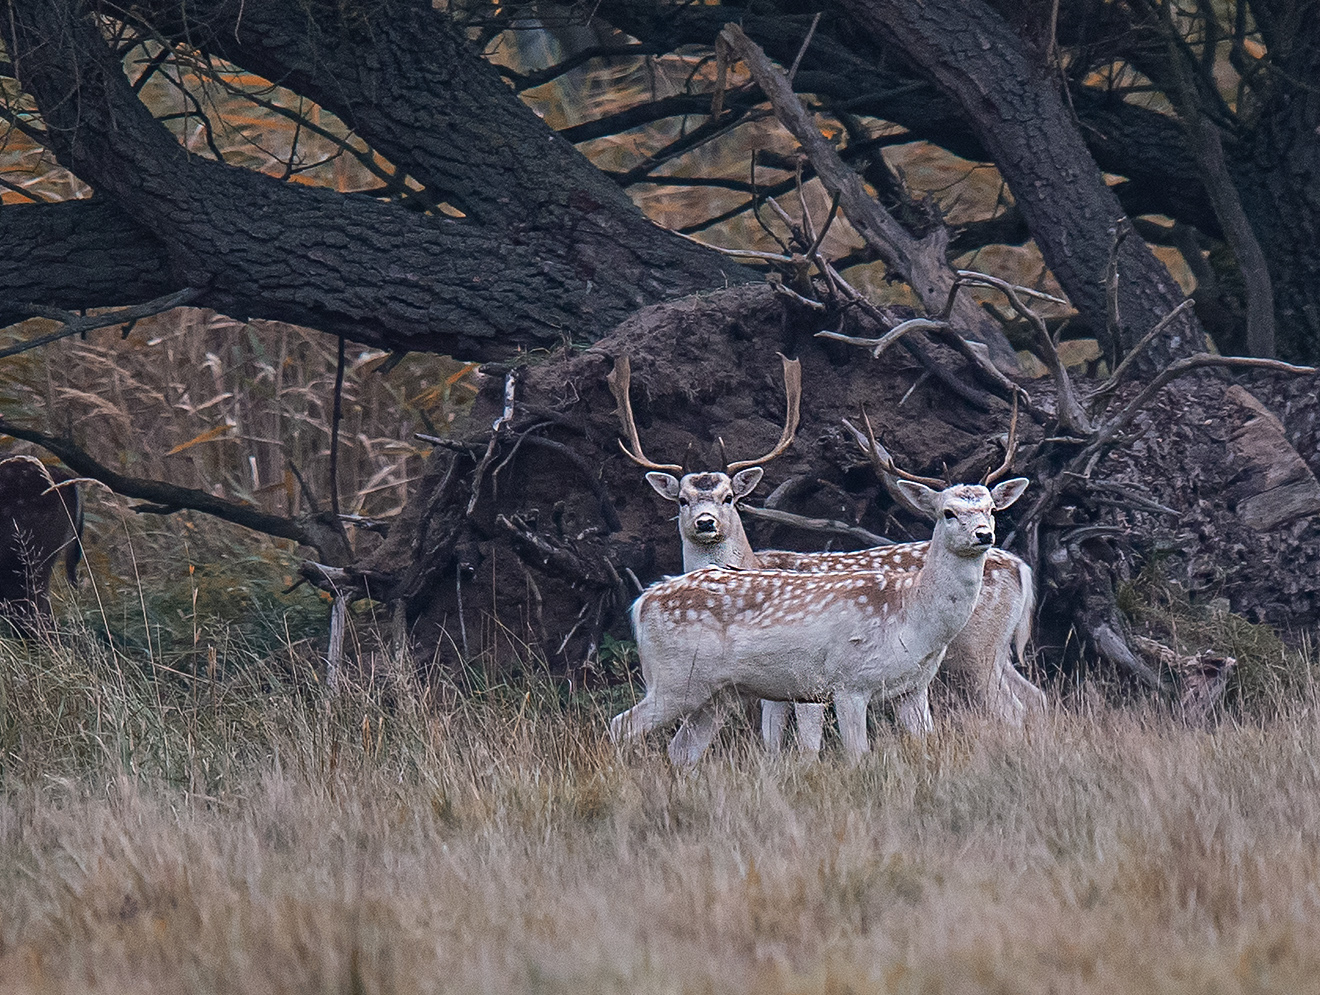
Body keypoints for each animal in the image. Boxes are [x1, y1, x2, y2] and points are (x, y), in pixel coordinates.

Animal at [607, 472, 1029, 760]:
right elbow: (854, 756)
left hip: (712, 694)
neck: (909, 613)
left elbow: (926, 744)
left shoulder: (912, 688)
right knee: (620, 725)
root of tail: (642, 601)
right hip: (674, 679)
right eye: (947, 512)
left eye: (992, 509)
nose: (983, 534)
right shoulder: (847, 682)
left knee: (681, 749)